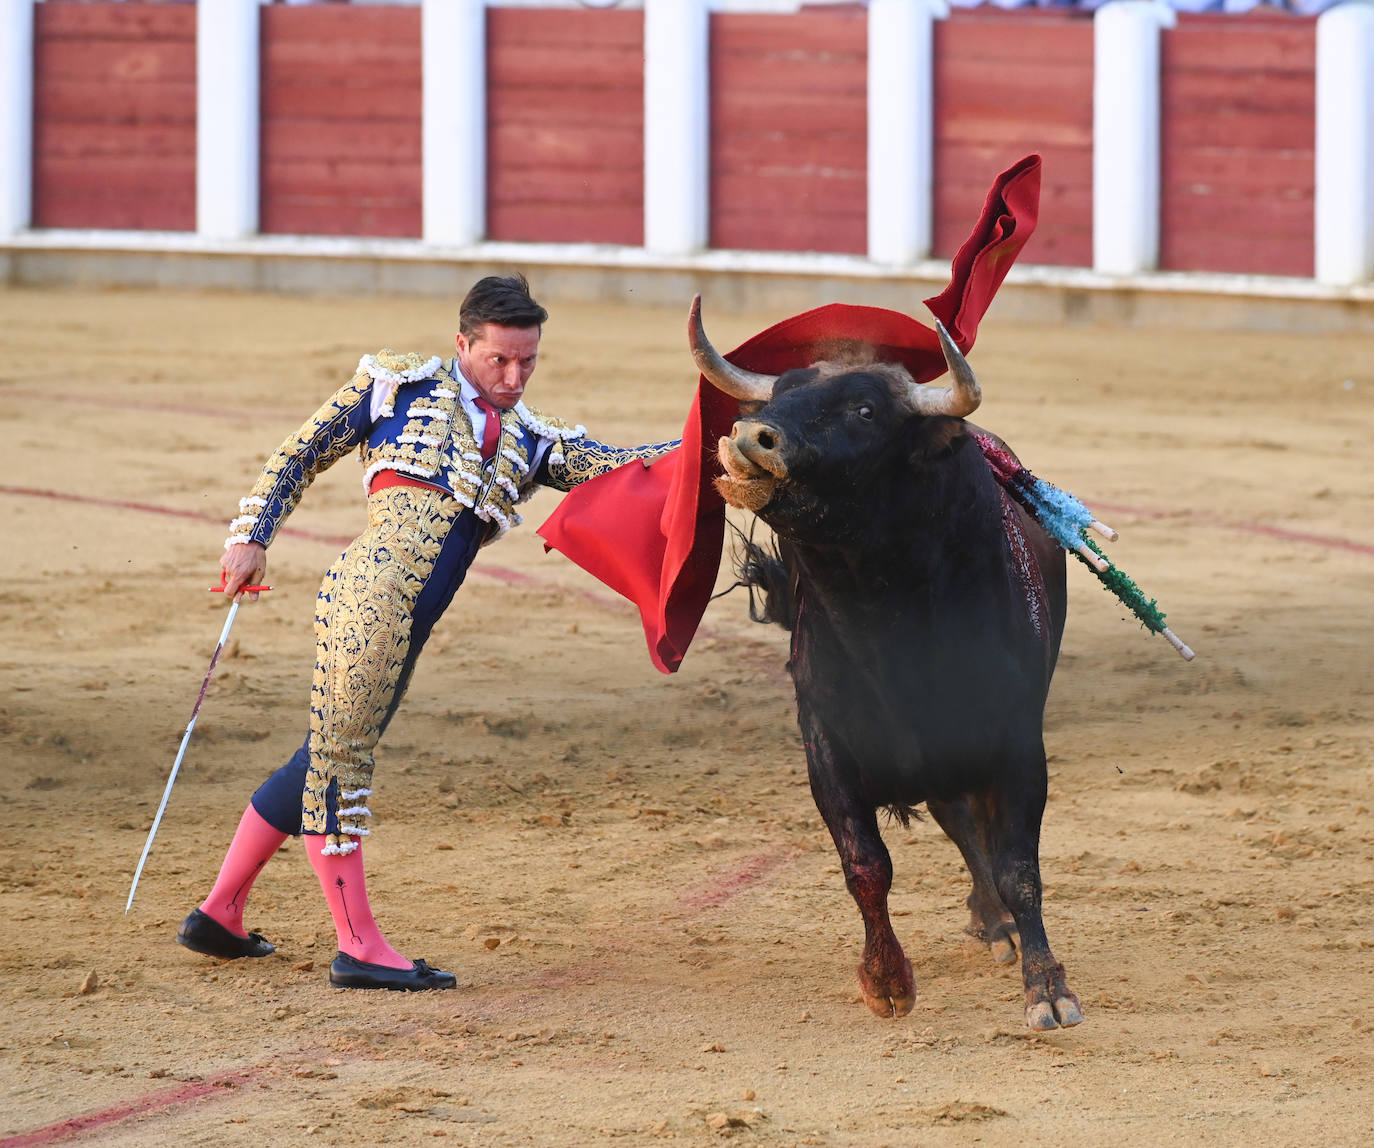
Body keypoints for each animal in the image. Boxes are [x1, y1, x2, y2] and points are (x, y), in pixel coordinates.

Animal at [697, 296, 1082, 1032]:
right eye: (782, 394)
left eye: (866, 410)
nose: (749, 435)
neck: (888, 626)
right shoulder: (826, 745)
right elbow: (866, 865)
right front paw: (886, 980)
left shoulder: (1017, 741)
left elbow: (1020, 864)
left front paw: (1049, 988)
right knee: (955, 820)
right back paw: (989, 921)